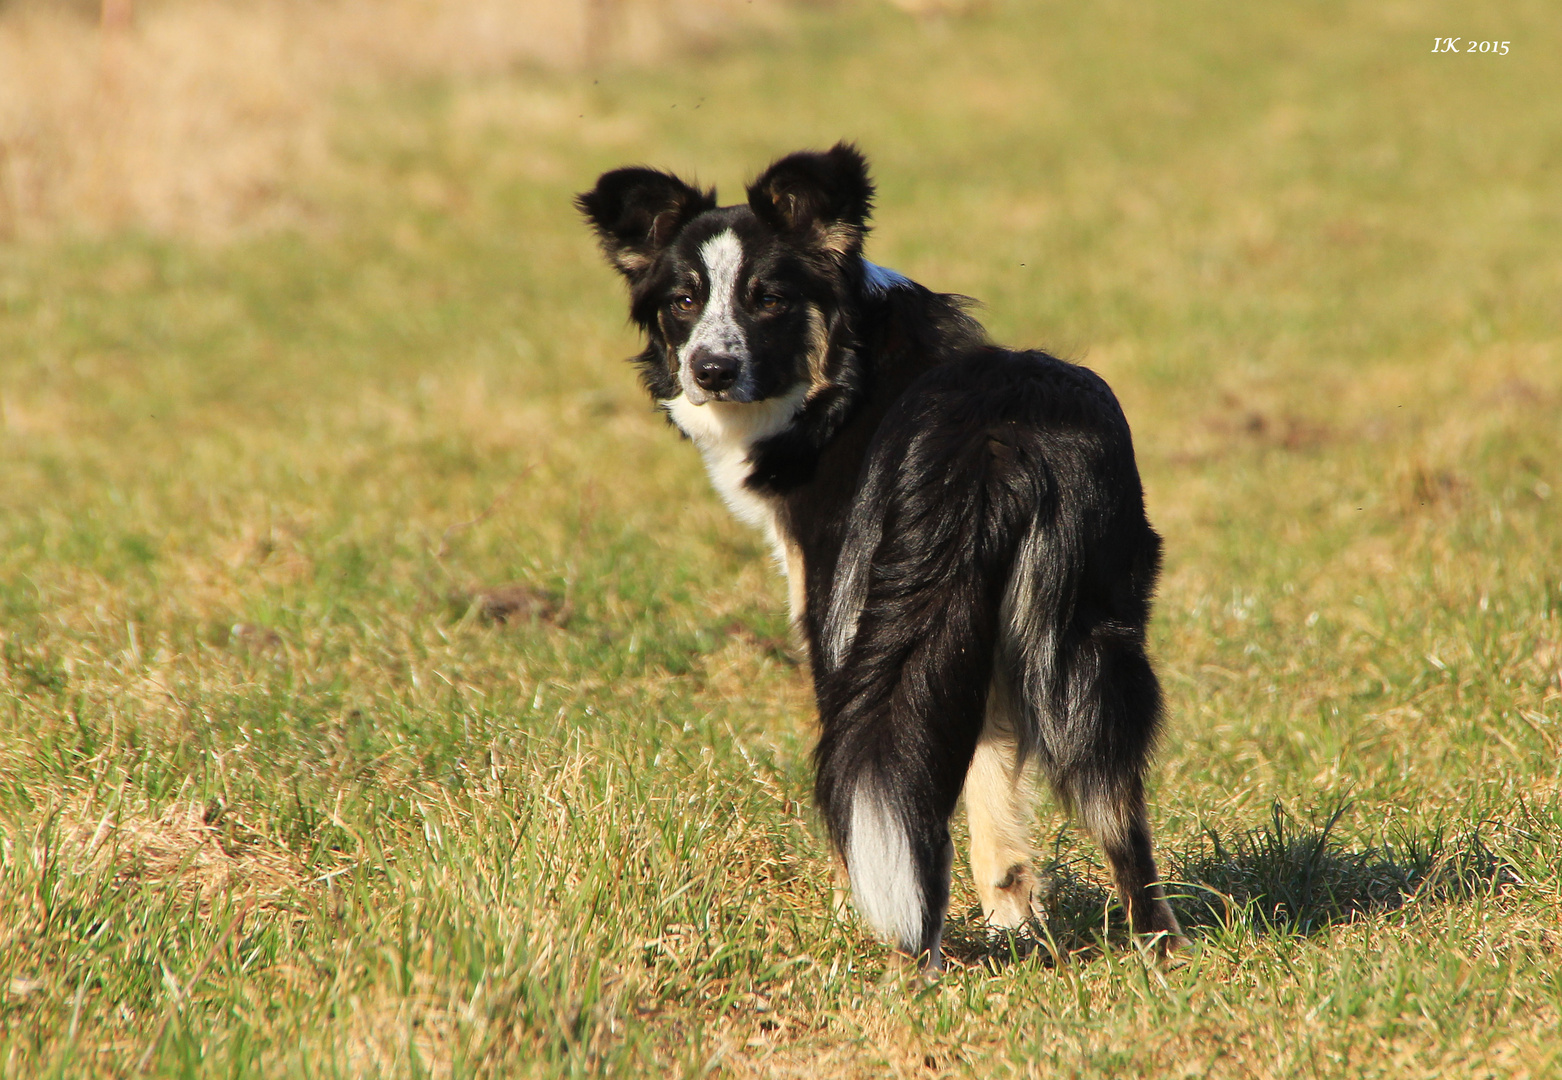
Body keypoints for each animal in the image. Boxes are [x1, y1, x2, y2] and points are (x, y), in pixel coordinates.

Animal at [577, 146, 1180, 969]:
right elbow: (991, 795)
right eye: (684, 300)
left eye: (768, 298)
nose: (708, 370)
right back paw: (1159, 947)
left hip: (859, 618)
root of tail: (987, 435)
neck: (844, 373)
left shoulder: (825, 600)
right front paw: (1012, 925)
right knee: (1117, 806)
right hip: (1088, 623)